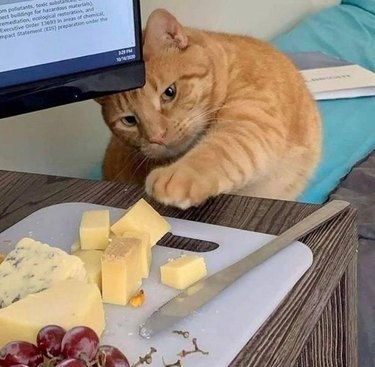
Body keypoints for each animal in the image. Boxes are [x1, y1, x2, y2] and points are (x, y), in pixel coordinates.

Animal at [96, 9, 320, 210]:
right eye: (129, 120)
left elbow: (218, 150)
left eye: (169, 92)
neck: (227, 67)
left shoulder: (253, 120)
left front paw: (180, 176)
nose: (157, 137)